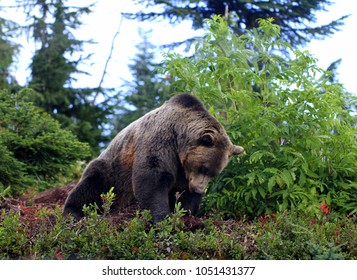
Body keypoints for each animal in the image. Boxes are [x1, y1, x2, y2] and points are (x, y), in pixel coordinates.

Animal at [62, 94, 243, 223]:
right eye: (203, 168)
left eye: (214, 174)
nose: (198, 189)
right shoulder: (161, 138)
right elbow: (153, 175)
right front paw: (162, 217)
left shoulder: (183, 170)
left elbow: (183, 193)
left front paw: (185, 212)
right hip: (112, 171)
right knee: (92, 184)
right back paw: (72, 213)